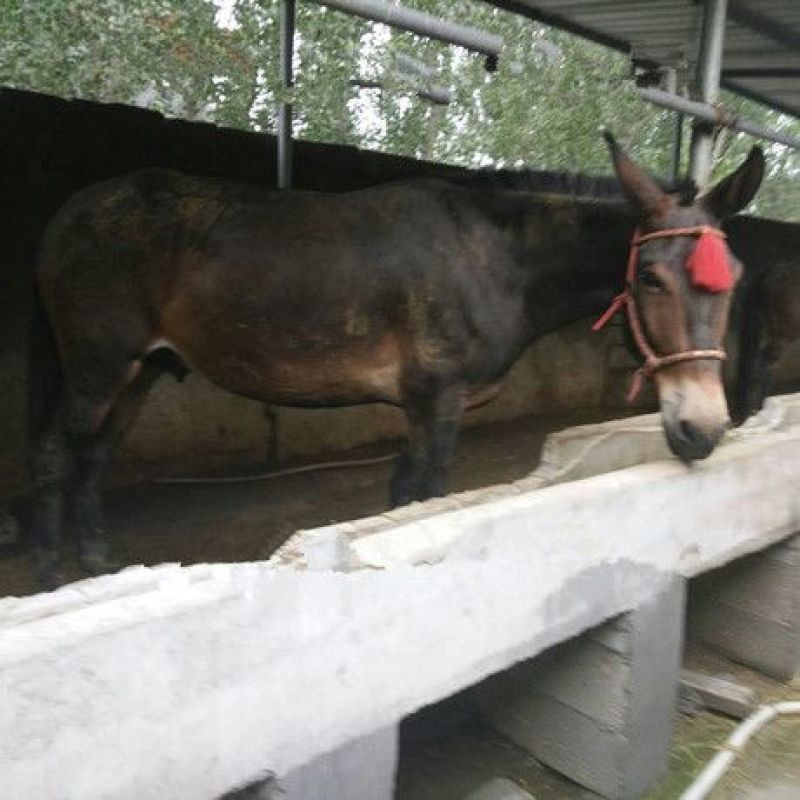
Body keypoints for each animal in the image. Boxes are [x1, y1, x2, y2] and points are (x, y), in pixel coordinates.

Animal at [28, 133, 764, 588]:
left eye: (734, 274)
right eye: (651, 280)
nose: (702, 430)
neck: (498, 259)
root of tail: (69, 212)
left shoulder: (420, 407)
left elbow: (403, 498)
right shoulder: (438, 401)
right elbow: (426, 500)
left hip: (142, 369)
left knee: (97, 452)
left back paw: (96, 556)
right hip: (98, 364)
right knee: (57, 452)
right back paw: (51, 573)